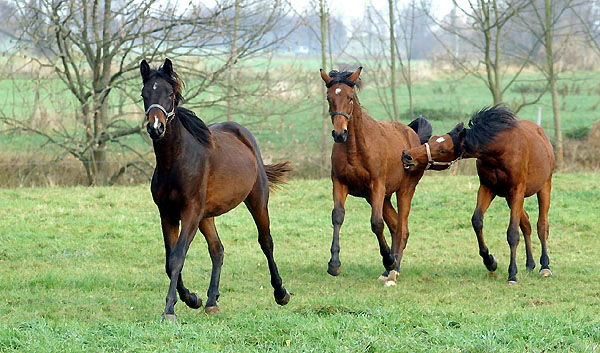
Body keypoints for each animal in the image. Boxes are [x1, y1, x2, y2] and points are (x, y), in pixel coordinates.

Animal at [141, 58, 290, 320]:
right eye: (144, 94)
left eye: (169, 94)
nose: (155, 127)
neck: (175, 162)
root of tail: (244, 135)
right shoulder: (167, 214)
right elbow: (170, 261)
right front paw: (192, 299)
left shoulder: (190, 212)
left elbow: (177, 257)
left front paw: (169, 309)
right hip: (206, 216)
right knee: (217, 249)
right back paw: (211, 301)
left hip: (257, 200)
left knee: (266, 241)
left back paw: (280, 293)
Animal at [322, 66, 434, 286]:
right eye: (329, 97)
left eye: (350, 97)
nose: (339, 134)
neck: (355, 148)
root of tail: (413, 135)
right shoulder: (340, 184)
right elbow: (338, 216)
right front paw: (334, 264)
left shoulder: (377, 186)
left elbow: (376, 223)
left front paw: (389, 260)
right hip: (383, 197)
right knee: (396, 226)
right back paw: (388, 269)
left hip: (403, 190)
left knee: (402, 227)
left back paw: (393, 268)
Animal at [400, 104, 556, 284]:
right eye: (433, 139)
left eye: (442, 150)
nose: (407, 156)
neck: (500, 150)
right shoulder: (487, 188)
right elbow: (477, 220)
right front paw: (490, 261)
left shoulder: (517, 190)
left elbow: (512, 232)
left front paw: (512, 274)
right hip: (510, 197)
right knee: (526, 225)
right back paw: (530, 263)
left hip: (544, 187)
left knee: (542, 225)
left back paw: (545, 266)